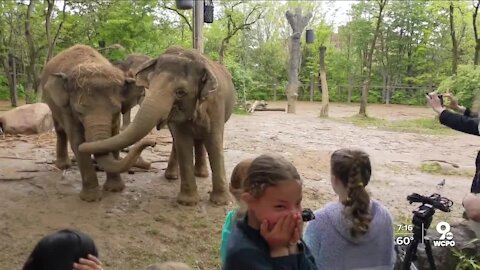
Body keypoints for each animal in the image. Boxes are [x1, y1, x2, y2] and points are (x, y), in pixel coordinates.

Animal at [41, 44, 155, 201]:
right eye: (79, 112)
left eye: (116, 111)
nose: (153, 143)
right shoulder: (68, 110)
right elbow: (76, 141)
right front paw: (91, 198)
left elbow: (114, 139)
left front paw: (115, 190)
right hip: (52, 103)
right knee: (60, 129)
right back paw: (63, 166)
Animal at [79, 46, 236, 205]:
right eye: (149, 84)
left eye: (181, 92)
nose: (153, 143)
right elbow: (183, 142)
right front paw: (187, 202)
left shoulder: (216, 105)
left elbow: (214, 142)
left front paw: (220, 202)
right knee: (180, 140)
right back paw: (173, 176)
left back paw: (201, 175)